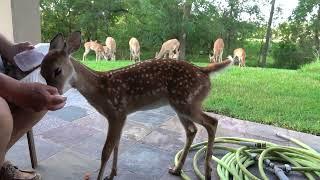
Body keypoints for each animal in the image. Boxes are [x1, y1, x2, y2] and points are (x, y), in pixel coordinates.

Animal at [41, 31, 234, 180]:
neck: (99, 89)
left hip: (186, 102)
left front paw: (103, 175)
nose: (54, 94)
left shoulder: (116, 112)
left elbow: (105, 151)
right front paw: (112, 174)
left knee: (212, 122)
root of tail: (204, 71)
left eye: (57, 70)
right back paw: (176, 169)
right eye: (41, 72)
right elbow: (117, 144)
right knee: (192, 130)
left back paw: (207, 172)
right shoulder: (121, 116)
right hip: (180, 105)